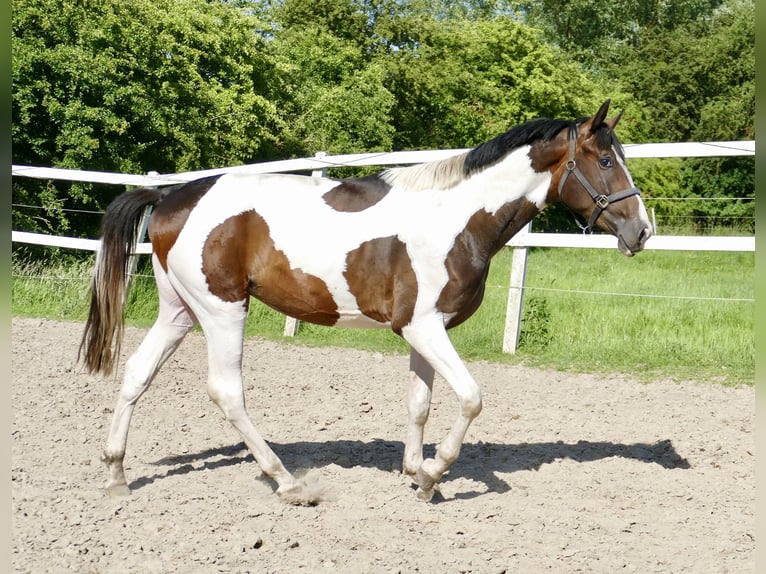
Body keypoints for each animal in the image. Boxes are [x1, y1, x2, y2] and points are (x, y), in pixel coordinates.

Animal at [79, 101, 656, 506]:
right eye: (606, 160)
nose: (641, 231)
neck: (456, 218)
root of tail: (169, 198)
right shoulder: (424, 328)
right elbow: (471, 398)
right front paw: (434, 474)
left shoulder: (425, 331)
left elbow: (420, 404)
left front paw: (416, 476)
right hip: (223, 312)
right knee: (227, 393)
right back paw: (287, 482)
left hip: (179, 312)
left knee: (136, 373)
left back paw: (115, 475)